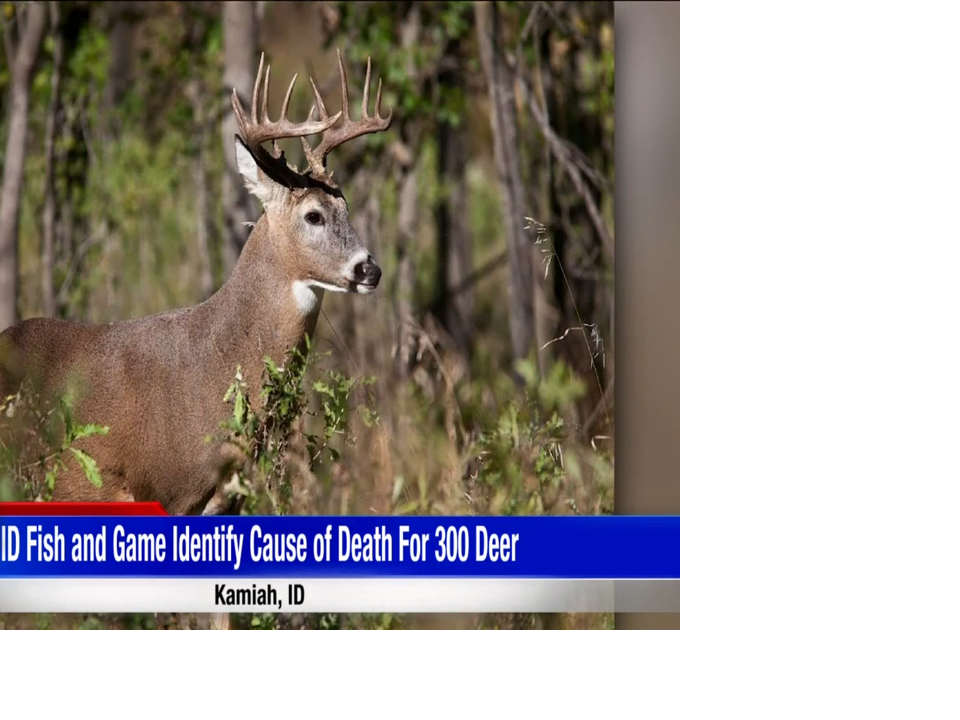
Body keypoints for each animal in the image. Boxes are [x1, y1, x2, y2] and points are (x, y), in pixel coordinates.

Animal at [0, 50, 393, 520]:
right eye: (313, 215)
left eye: (346, 207)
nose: (370, 270)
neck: (213, 364)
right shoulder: (158, 485)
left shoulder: (229, 495)